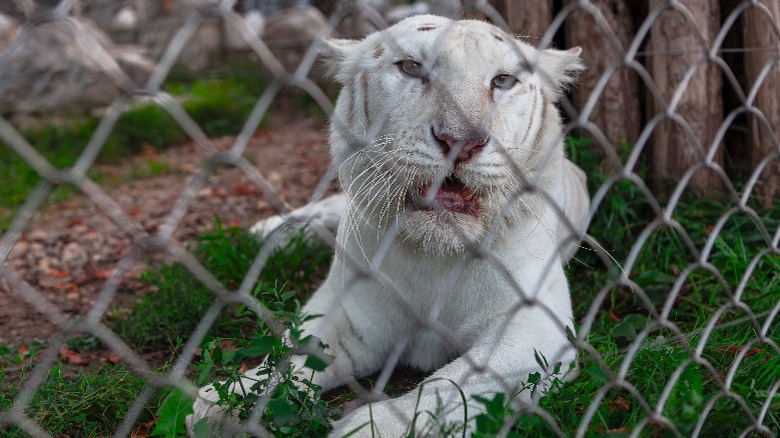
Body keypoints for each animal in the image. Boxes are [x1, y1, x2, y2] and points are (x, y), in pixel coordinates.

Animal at [190, 14, 592, 438]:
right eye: (412, 67)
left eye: (503, 80)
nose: (461, 141)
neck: (436, 255)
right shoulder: (351, 313)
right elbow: (292, 351)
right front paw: (222, 401)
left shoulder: (534, 328)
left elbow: (451, 386)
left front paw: (370, 427)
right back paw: (265, 233)